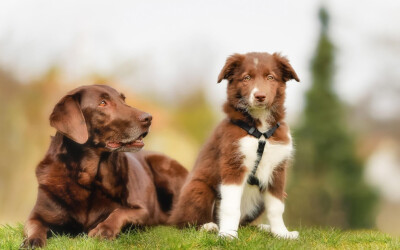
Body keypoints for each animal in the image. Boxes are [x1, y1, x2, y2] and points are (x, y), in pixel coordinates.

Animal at [169, 51, 300, 239]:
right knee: (183, 223)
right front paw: (228, 235)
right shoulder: (233, 164)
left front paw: (282, 233)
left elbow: (276, 206)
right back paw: (209, 227)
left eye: (270, 77)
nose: (260, 96)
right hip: (198, 188)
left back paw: (263, 228)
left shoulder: (277, 169)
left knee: (246, 223)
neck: (260, 130)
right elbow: (231, 206)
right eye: (246, 78)